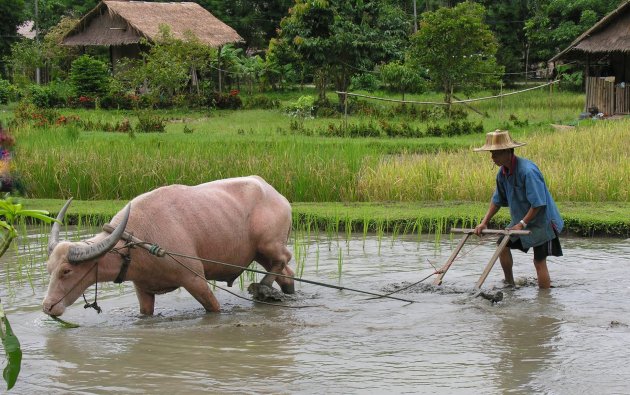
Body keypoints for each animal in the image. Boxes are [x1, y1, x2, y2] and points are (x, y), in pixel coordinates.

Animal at [44, 176, 296, 318]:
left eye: (66, 271)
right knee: (287, 272)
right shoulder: (143, 289)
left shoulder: (195, 279)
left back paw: (263, 286)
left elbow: (213, 308)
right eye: (49, 270)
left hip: (268, 243)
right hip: (259, 253)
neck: (136, 244)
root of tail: (277, 196)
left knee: (284, 258)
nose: (47, 307)